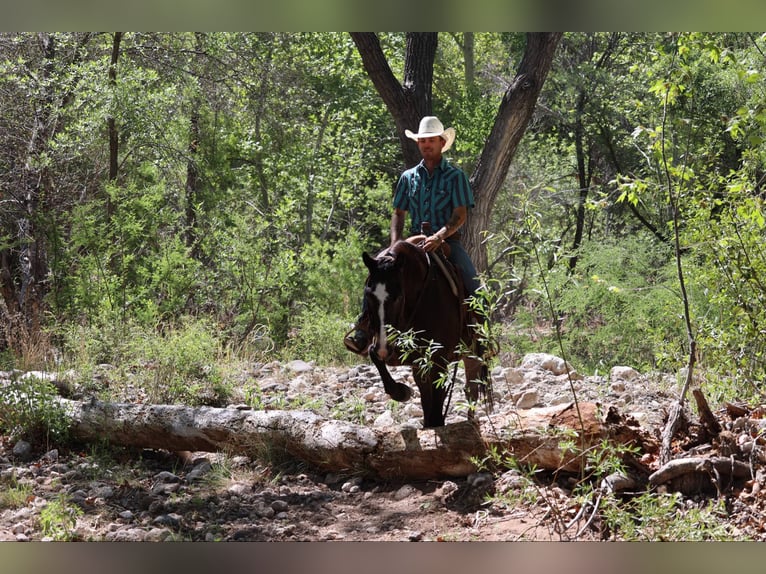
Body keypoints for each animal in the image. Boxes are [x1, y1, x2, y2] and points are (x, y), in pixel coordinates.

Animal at [359, 238, 492, 428]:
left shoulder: (438, 356)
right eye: (368, 295)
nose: (384, 348)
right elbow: (373, 354)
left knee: (470, 389)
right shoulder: (405, 353)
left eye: (398, 297)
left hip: (472, 354)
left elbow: (437, 398)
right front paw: (401, 392)